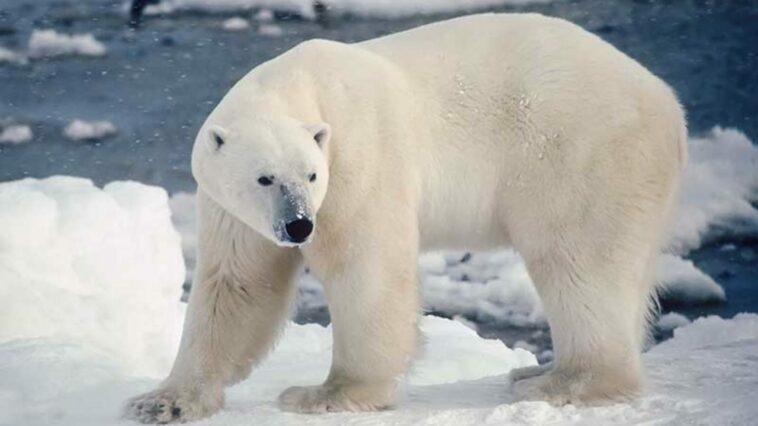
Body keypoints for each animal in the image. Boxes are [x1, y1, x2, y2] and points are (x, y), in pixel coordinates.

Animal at [126, 12, 688, 422]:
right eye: (265, 178)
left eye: (311, 174)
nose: (299, 225)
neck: (300, 84)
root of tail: (667, 102)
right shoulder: (231, 208)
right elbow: (238, 285)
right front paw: (163, 400)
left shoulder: (358, 157)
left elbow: (365, 266)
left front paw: (328, 392)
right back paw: (538, 372)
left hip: (578, 150)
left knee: (577, 260)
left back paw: (560, 380)